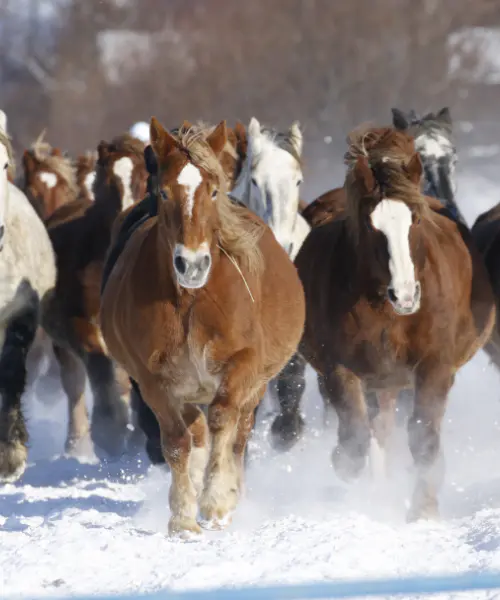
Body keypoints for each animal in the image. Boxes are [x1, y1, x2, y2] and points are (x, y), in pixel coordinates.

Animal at [294, 126, 494, 520]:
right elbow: (356, 440)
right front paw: (346, 468)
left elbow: (423, 438)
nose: (404, 295)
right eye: (371, 226)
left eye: (414, 219)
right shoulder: (339, 369)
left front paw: (423, 511)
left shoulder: (434, 367)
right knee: (375, 431)